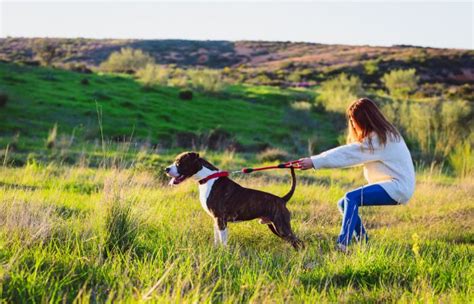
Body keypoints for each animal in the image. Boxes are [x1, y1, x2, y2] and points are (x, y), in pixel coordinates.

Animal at [166, 152, 304, 249]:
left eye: (179, 162)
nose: (166, 169)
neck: (208, 178)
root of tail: (282, 199)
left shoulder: (220, 219)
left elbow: (223, 241)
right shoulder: (216, 220)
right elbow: (217, 239)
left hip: (282, 227)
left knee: (299, 243)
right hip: (275, 227)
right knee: (295, 243)